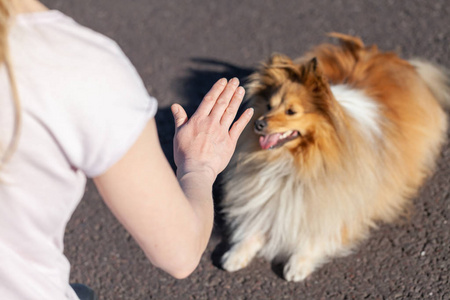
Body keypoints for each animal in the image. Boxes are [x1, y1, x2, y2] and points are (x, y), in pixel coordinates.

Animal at [220, 32, 448, 282]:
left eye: (291, 111)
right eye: (269, 106)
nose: (259, 124)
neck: (296, 161)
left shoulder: (339, 205)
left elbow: (318, 233)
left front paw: (298, 264)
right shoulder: (269, 195)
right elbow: (255, 222)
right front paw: (235, 254)